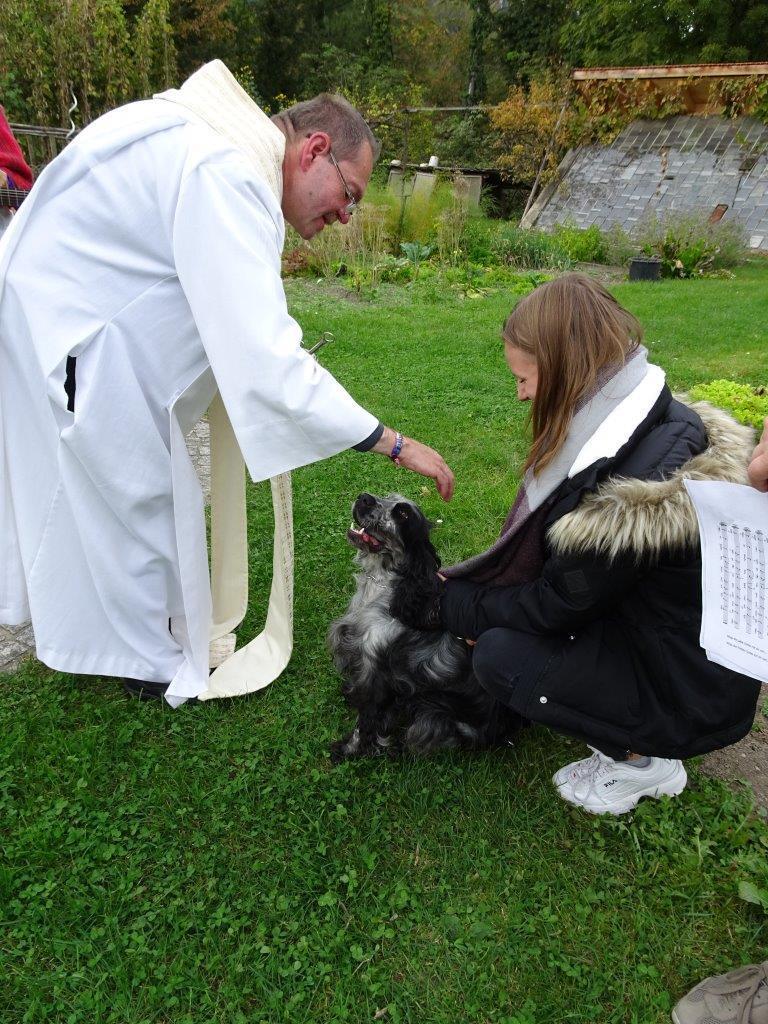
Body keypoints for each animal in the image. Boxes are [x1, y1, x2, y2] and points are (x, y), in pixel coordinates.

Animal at [328, 492, 522, 762]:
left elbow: (365, 721)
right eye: (386, 497)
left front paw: (348, 750)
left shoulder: (376, 673)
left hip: (430, 712)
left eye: (402, 514)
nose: (364, 498)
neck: (381, 587)